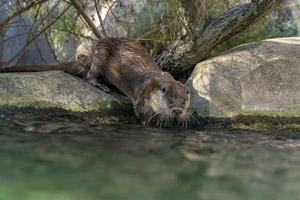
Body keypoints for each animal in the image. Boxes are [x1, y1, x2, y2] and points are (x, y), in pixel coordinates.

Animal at [0, 38, 190, 126]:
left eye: (184, 102)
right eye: (170, 100)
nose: (177, 110)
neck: (154, 87)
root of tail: (91, 53)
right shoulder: (142, 99)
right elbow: (142, 114)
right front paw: (151, 123)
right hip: (100, 55)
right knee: (90, 75)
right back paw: (102, 86)